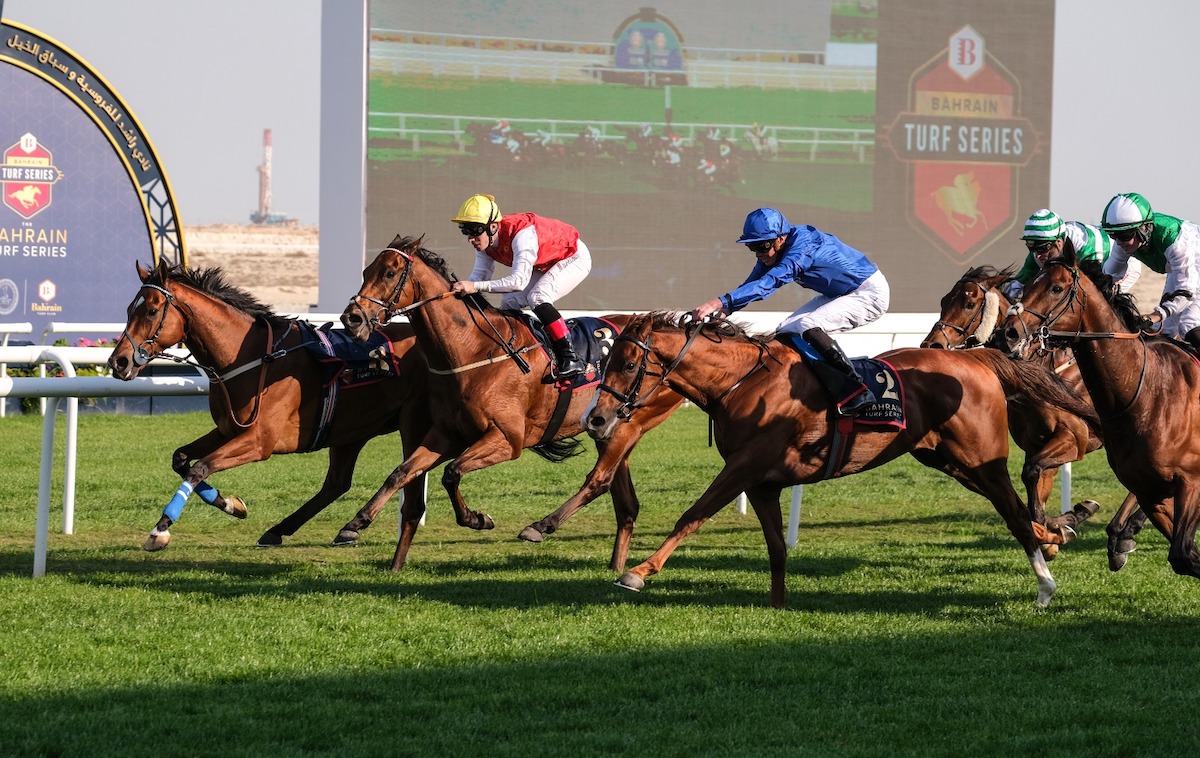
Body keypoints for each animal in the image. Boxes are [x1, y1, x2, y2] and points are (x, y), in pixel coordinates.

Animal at [104, 260, 432, 551]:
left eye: (151, 311)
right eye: (129, 309)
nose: (118, 362)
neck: (251, 358)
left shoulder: (260, 440)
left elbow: (200, 468)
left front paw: (160, 530)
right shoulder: (228, 429)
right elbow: (181, 459)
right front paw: (232, 504)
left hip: (412, 419)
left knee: (406, 471)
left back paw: (355, 522)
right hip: (352, 428)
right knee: (337, 483)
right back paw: (291, 529)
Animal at [338, 233, 686, 570]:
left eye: (389, 273)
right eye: (367, 272)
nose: (351, 318)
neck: (475, 350)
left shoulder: (507, 439)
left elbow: (452, 472)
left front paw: (477, 518)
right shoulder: (446, 434)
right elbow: (401, 472)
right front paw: (355, 524)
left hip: (629, 423)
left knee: (599, 481)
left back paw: (540, 527)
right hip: (606, 428)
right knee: (625, 503)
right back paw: (616, 566)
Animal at [585, 314, 1099, 609]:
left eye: (627, 365)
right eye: (606, 363)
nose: (596, 417)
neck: (741, 383)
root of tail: (978, 358)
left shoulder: (743, 468)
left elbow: (692, 516)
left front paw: (636, 573)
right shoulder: (762, 482)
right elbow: (776, 547)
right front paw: (778, 605)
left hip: (981, 460)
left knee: (1014, 514)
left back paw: (1046, 586)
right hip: (947, 460)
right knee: (1019, 513)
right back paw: (1065, 526)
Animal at [921, 263, 1147, 566]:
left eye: (969, 304)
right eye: (944, 301)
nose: (930, 345)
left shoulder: (1072, 439)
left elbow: (1031, 475)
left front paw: (1069, 519)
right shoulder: (1036, 445)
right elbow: (1037, 488)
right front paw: (1056, 534)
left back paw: (1124, 534)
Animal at [998, 256, 1200, 580]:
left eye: (1056, 288)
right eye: (1027, 286)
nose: (1009, 333)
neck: (1145, 391)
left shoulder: (1189, 481)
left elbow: (1183, 555)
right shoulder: (1149, 490)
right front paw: (1058, 529)